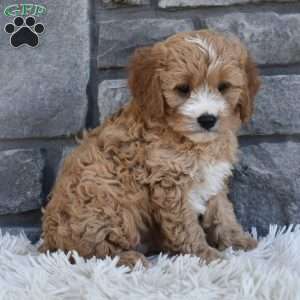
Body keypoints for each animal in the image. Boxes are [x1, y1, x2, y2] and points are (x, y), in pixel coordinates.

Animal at [39, 30, 260, 268]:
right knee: (90, 252)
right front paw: (204, 254)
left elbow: (222, 212)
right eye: (183, 89)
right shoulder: (170, 183)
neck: (192, 141)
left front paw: (237, 240)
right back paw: (129, 258)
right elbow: (186, 226)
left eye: (223, 87)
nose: (207, 119)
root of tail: (50, 241)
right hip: (106, 201)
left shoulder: (214, 178)